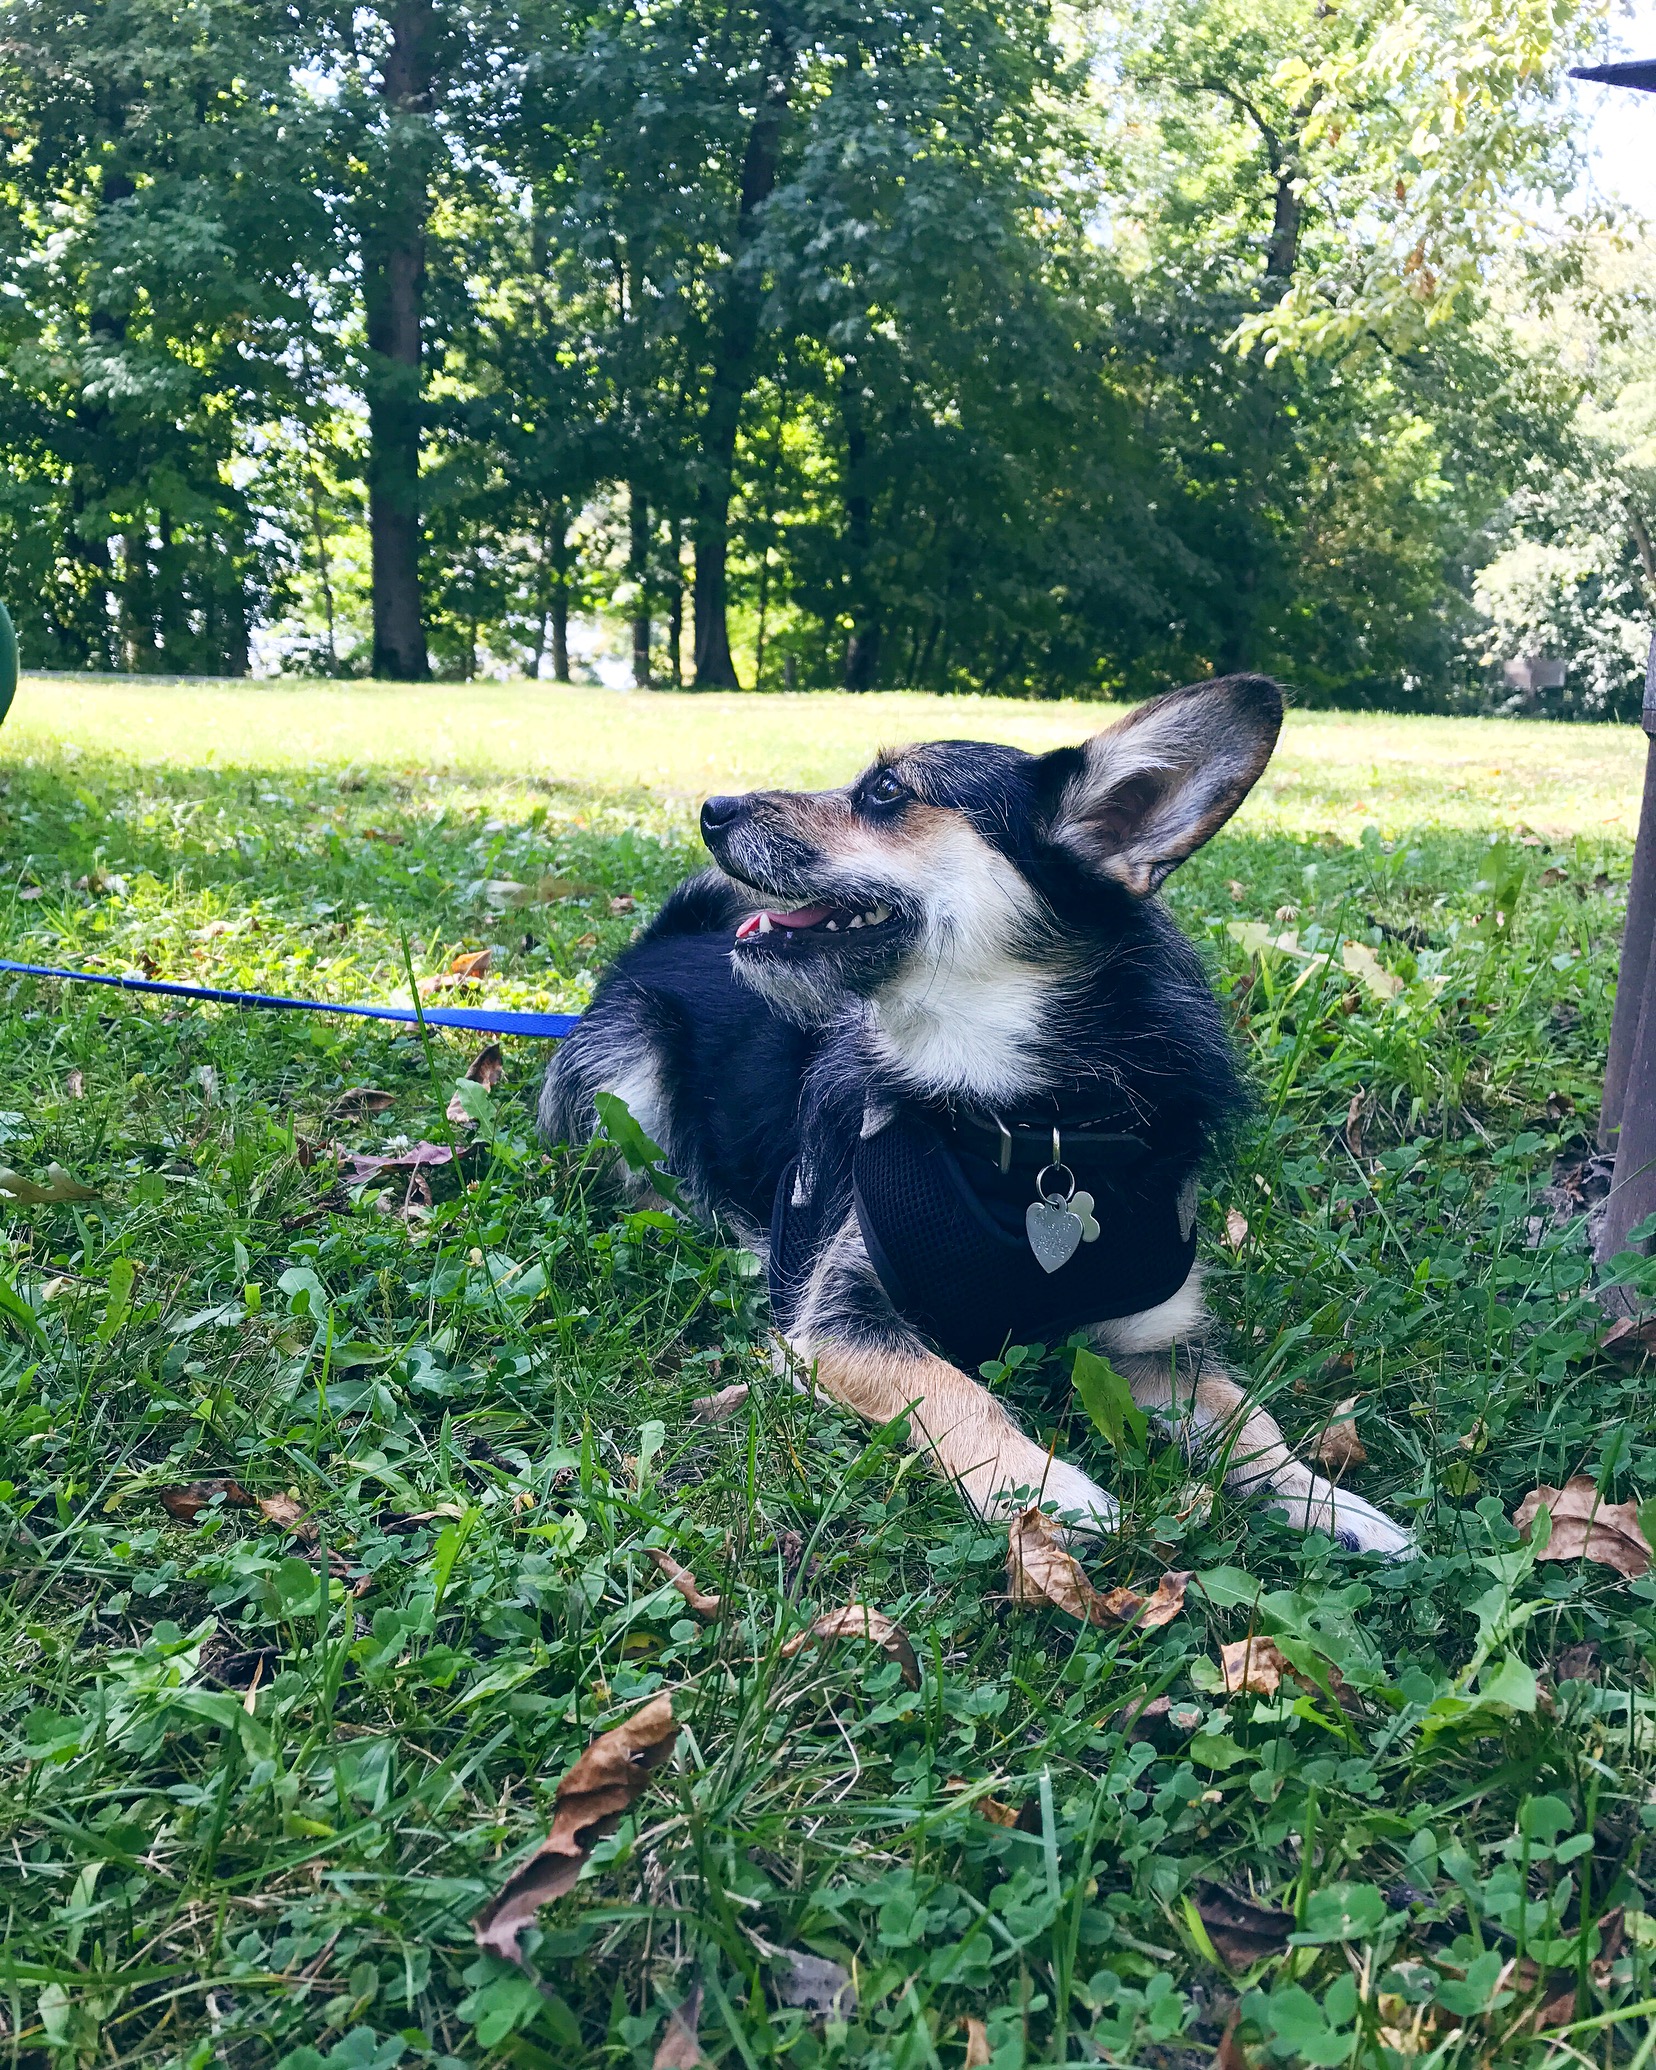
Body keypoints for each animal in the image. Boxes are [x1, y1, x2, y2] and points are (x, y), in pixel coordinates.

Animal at [538, 670, 1407, 1556]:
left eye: (887, 790)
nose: (711, 809)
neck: (1028, 1121)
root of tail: (659, 942)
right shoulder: (839, 1322)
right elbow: (953, 1386)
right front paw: (1044, 1487)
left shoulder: (1157, 1343)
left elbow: (1251, 1423)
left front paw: (1329, 1504)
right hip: (626, 1071)